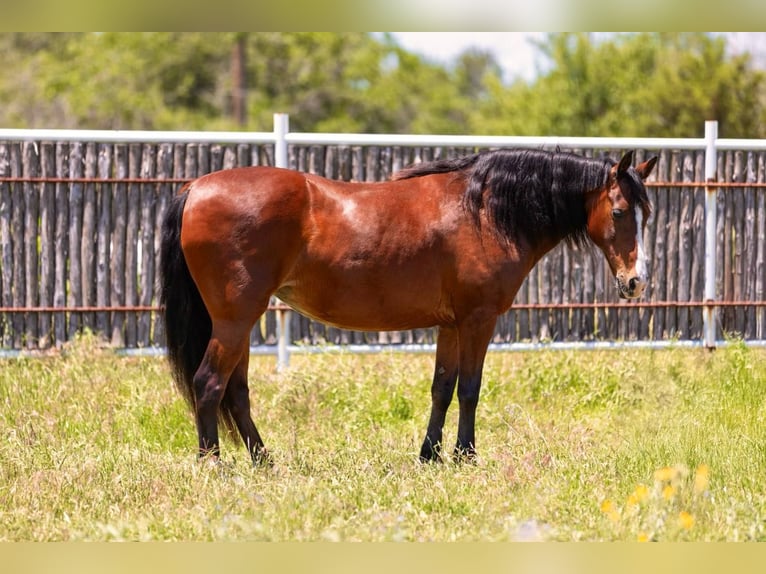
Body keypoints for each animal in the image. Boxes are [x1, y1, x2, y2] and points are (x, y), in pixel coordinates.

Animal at [159, 148, 657, 465]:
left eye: (647, 214)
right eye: (619, 212)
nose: (636, 282)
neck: (485, 211)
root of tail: (196, 187)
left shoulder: (450, 325)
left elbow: (443, 387)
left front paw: (430, 455)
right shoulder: (478, 320)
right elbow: (470, 389)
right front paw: (465, 456)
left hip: (239, 323)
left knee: (237, 392)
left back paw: (264, 460)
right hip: (234, 320)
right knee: (208, 384)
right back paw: (213, 465)